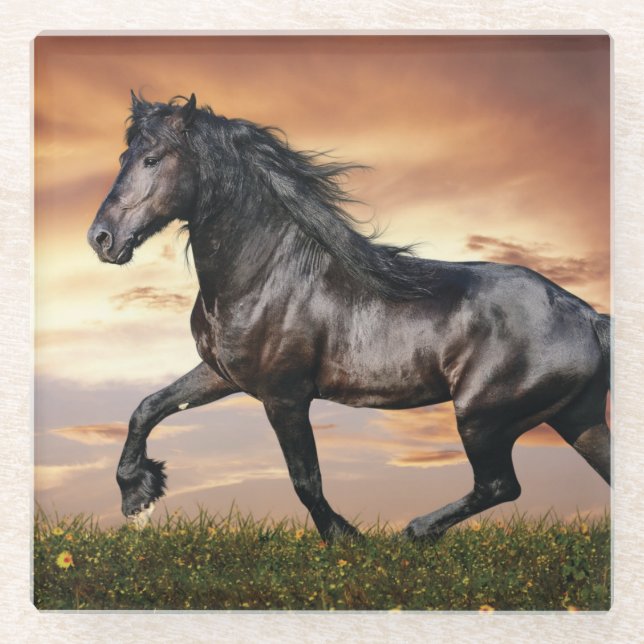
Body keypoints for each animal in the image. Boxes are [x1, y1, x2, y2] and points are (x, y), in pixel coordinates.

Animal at [87, 92, 611, 540]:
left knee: (500, 485)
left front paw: (345, 538)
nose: (101, 238)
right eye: (123, 157)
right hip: (575, 419)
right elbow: (147, 408)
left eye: (153, 159)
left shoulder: (284, 396)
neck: (266, 274)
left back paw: (415, 532)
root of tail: (586, 316)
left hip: (483, 418)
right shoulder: (222, 375)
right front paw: (137, 495)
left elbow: (305, 479)